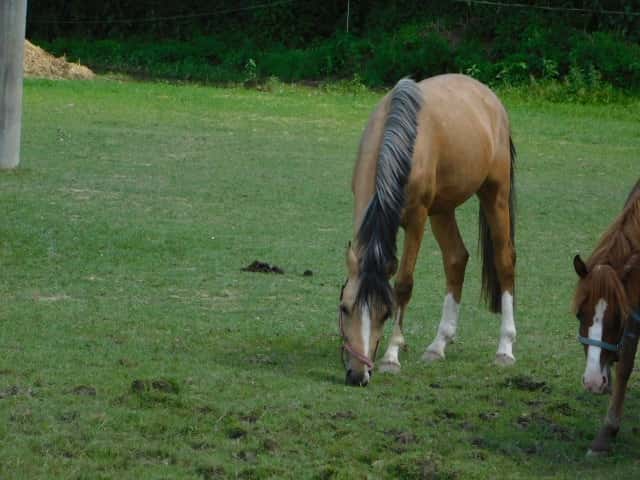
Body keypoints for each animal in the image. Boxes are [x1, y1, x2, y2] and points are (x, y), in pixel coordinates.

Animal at [338, 74, 517, 387]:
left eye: (385, 313)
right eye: (345, 308)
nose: (358, 375)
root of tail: (490, 98)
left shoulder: (417, 219)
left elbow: (404, 284)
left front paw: (392, 355)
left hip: (495, 194)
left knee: (504, 260)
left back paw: (505, 348)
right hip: (442, 209)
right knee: (456, 259)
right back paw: (438, 344)